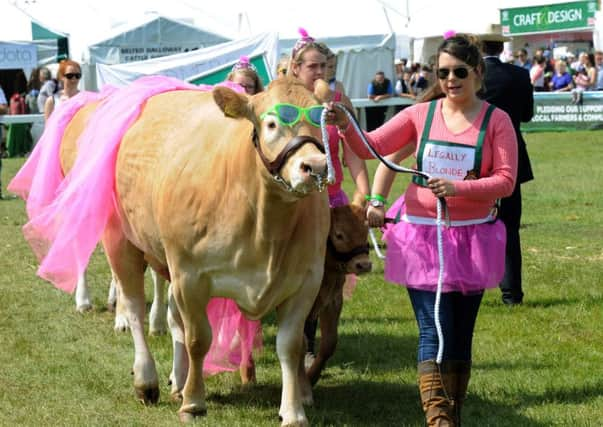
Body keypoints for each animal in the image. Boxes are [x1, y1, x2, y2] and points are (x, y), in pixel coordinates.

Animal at [59, 77, 332, 427]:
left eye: (321, 120)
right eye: (271, 123)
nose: (316, 166)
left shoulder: (307, 280)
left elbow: (291, 345)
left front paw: (294, 410)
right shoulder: (190, 276)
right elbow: (198, 339)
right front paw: (193, 402)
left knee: (173, 319)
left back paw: (178, 377)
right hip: (121, 240)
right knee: (134, 308)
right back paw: (146, 380)